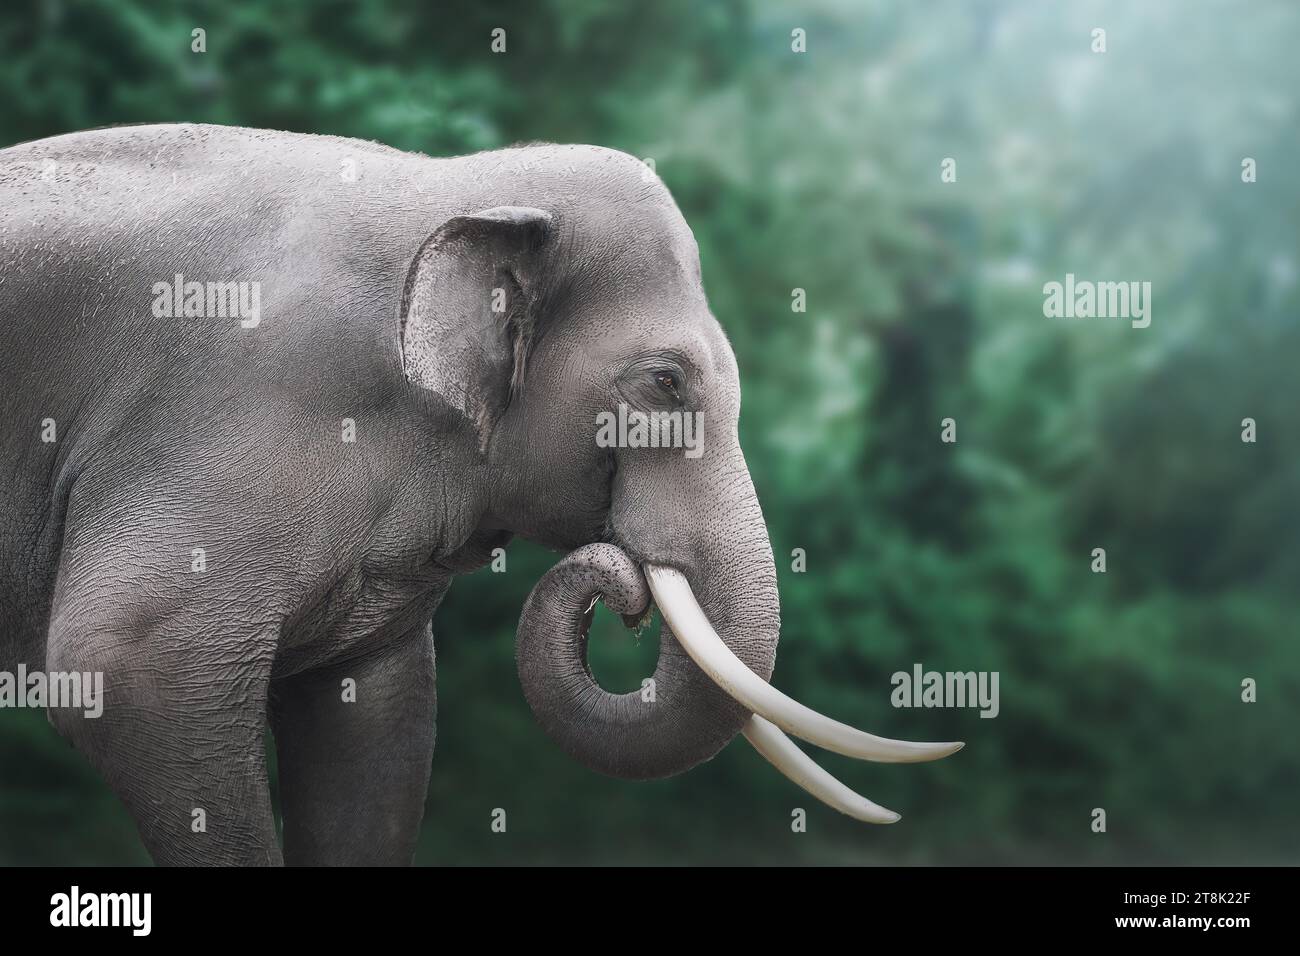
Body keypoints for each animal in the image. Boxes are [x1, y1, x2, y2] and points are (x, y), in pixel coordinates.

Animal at [0, 123, 961, 865]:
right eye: (664, 382)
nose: (624, 589)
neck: (457, 181)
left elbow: (376, 722)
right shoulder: (227, 423)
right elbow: (125, 669)